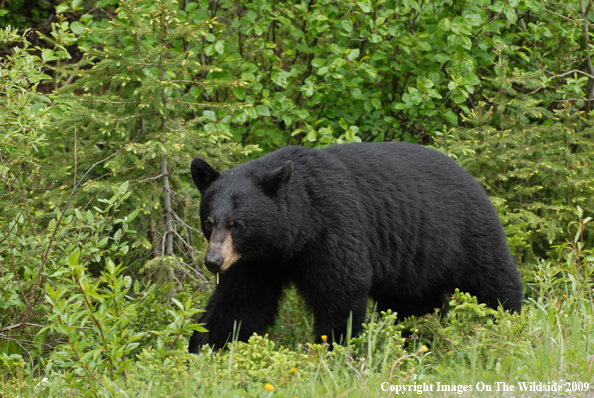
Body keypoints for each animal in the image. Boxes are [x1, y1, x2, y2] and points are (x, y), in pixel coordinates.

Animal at [187, 142, 520, 352]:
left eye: (237, 224)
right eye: (210, 222)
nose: (213, 261)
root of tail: (471, 176)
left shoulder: (334, 227)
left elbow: (341, 289)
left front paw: (333, 348)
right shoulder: (255, 261)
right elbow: (241, 302)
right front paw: (205, 348)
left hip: (464, 234)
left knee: (492, 281)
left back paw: (508, 324)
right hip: (410, 266)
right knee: (412, 305)